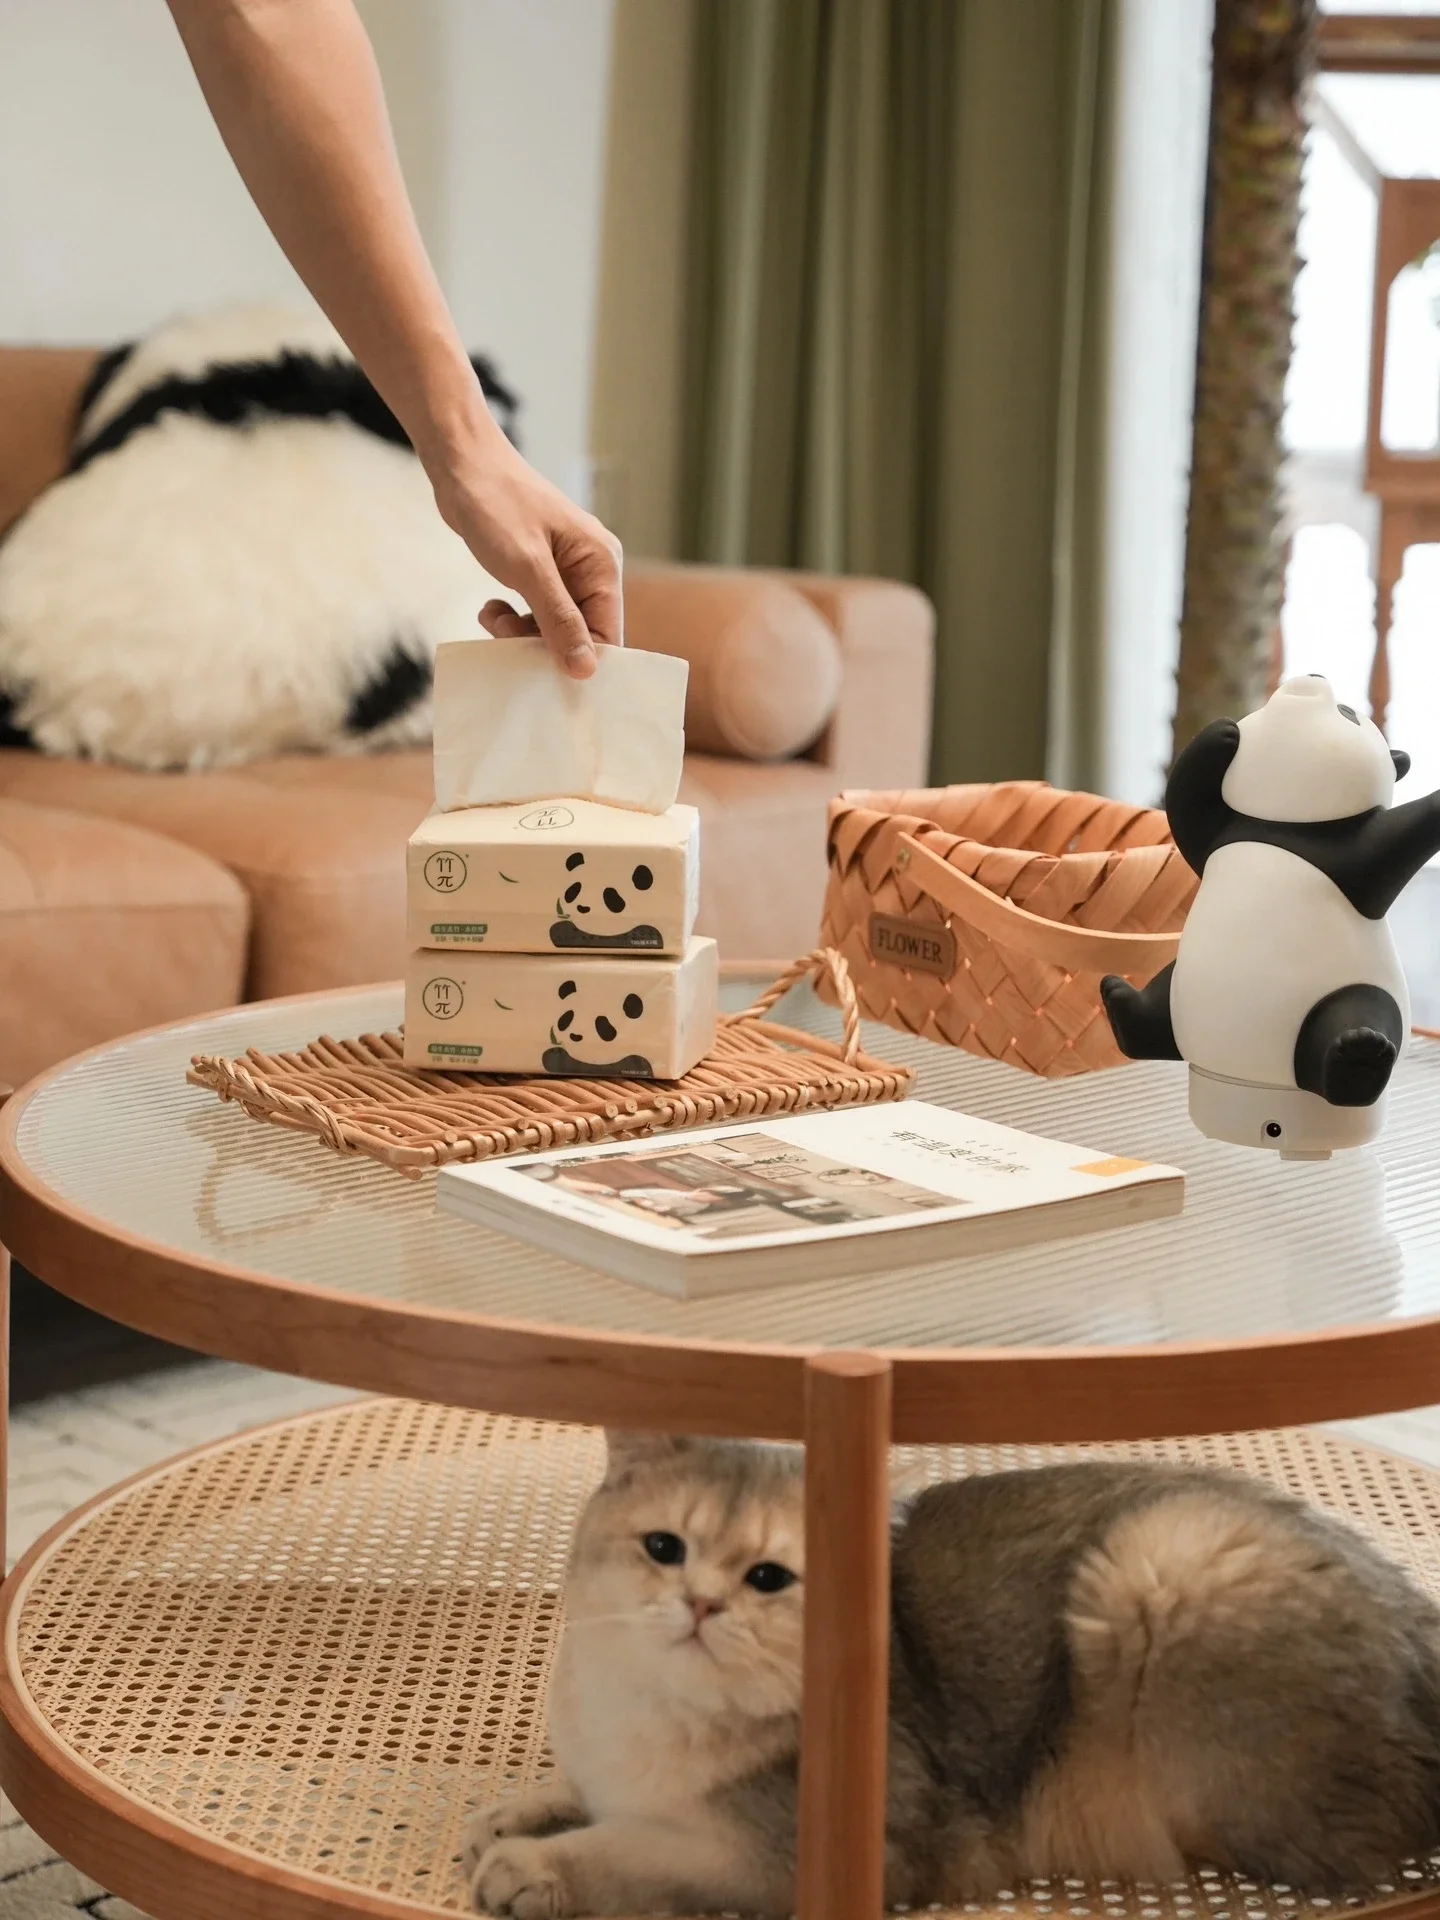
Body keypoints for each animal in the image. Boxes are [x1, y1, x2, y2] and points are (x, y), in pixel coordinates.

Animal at [458, 1436, 1440, 1912]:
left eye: (770, 1578)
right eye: (664, 1549)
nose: (701, 1605)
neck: (645, 1710)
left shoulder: (813, 1857)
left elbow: (637, 1850)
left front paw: (533, 1867)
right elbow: (579, 1795)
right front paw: (522, 1810)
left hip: (1160, 1563)